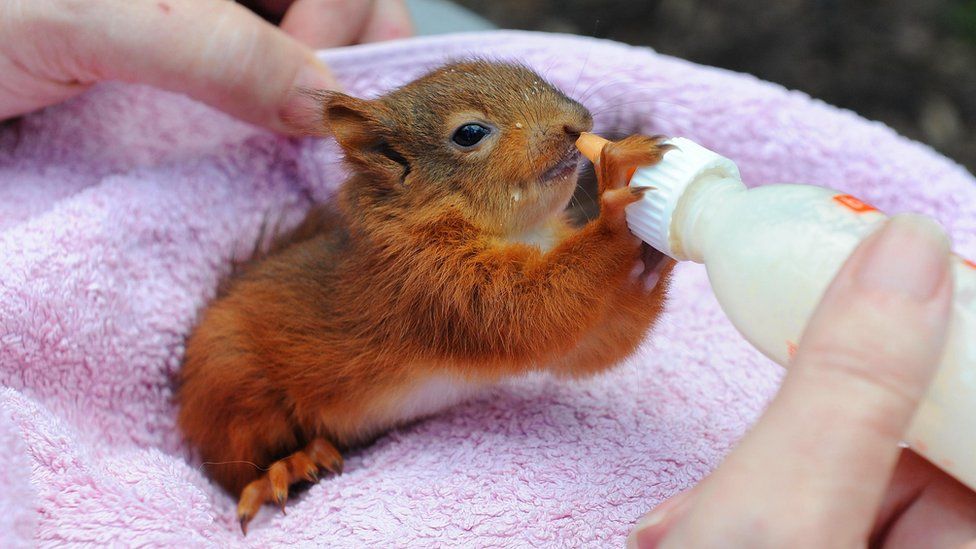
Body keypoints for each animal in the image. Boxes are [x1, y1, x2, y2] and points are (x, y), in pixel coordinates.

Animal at [177, 60, 675, 534]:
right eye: (469, 133)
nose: (577, 124)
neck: (520, 231)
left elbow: (592, 343)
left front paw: (658, 240)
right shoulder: (430, 284)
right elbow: (528, 312)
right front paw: (614, 209)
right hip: (233, 384)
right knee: (235, 467)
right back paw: (290, 465)